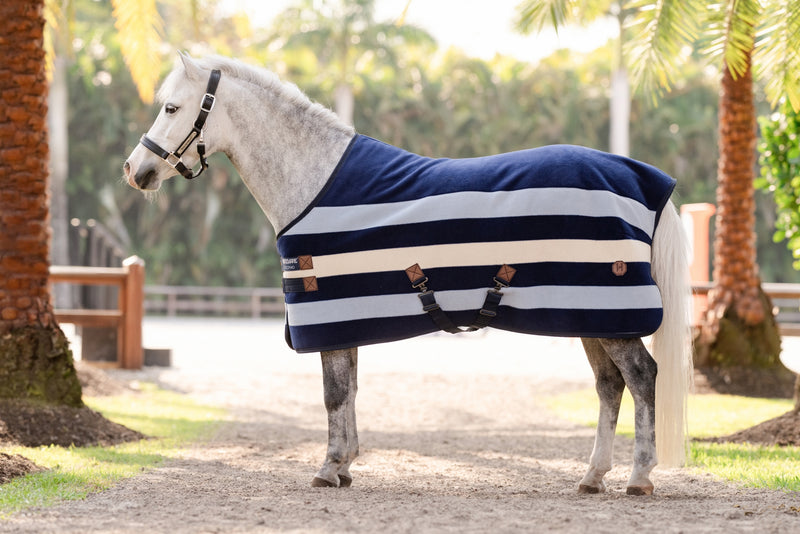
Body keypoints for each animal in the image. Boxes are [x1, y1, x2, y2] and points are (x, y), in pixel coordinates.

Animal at [123, 53, 692, 496]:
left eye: (172, 107)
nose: (135, 171)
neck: (315, 180)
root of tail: (644, 179)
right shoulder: (343, 320)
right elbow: (350, 390)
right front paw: (346, 466)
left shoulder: (327, 315)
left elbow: (333, 394)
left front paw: (329, 469)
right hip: (592, 316)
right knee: (608, 386)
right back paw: (593, 476)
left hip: (610, 316)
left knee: (641, 377)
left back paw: (639, 477)